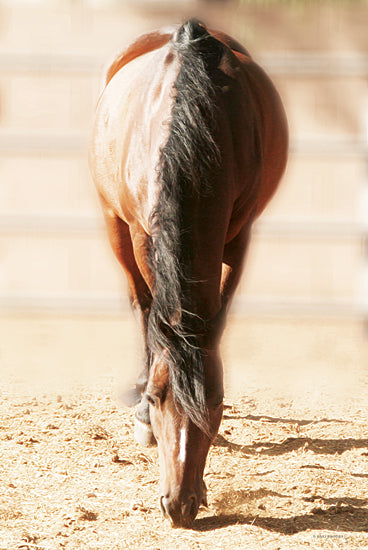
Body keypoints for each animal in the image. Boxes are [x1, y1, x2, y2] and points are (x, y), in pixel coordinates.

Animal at [89, 20, 288, 532]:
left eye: (216, 401)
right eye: (159, 398)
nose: (179, 506)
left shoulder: (239, 234)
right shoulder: (142, 232)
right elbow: (151, 313)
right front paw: (142, 414)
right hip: (114, 224)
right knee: (141, 305)